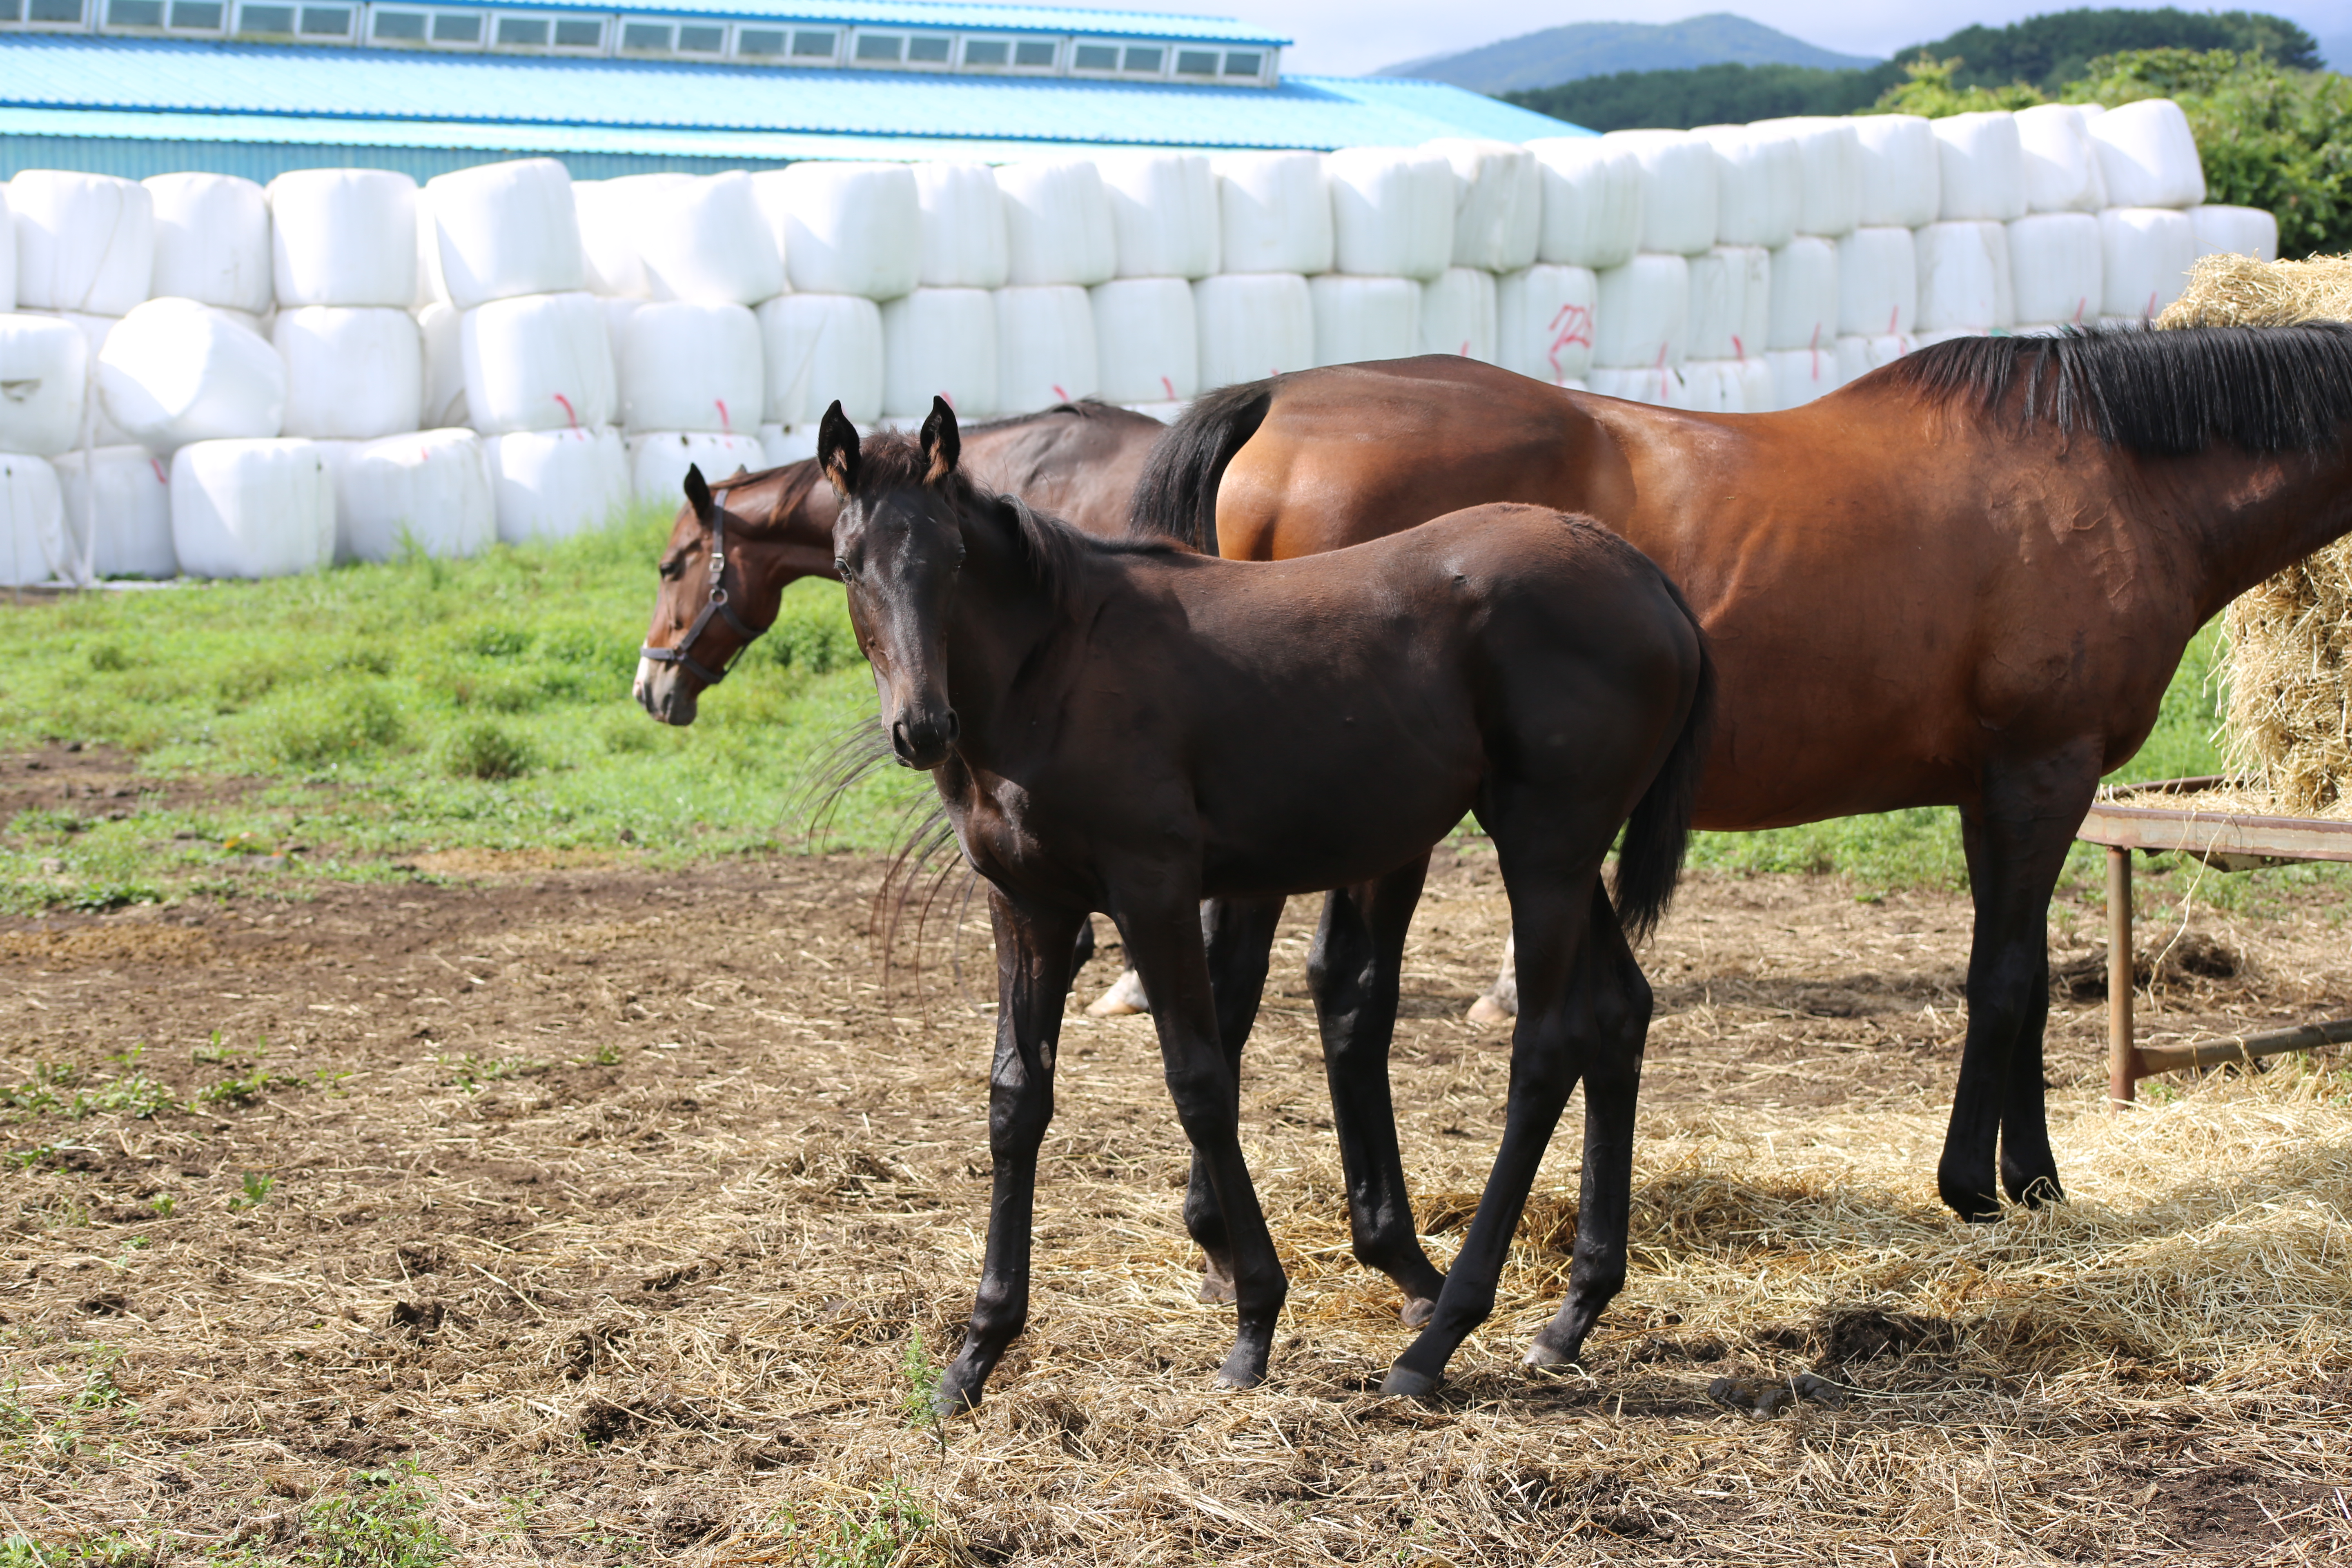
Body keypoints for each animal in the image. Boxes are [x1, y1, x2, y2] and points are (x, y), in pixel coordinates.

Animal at [809, 399, 1712, 1401]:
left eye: (954, 560)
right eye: (847, 565)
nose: (922, 729)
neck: (1054, 669)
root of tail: (1645, 576)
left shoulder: (1153, 890)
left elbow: (1202, 1085)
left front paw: (1255, 1322)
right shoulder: (1030, 908)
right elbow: (1016, 1101)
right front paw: (977, 1351)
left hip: (1545, 847)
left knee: (1546, 1051)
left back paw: (1437, 1339)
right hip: (1568, 853)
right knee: (1620, 1013)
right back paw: (1572, 1315)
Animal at [1129, 331, 2352, 1241]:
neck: (2104, 475)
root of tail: (1280, 404)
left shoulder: (1992, 792)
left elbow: (2031, 981)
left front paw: (2035, 1178)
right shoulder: (2042, 775)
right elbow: (2003, 981)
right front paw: (1977, 1184)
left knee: (1257, 984)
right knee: (1340, 988)